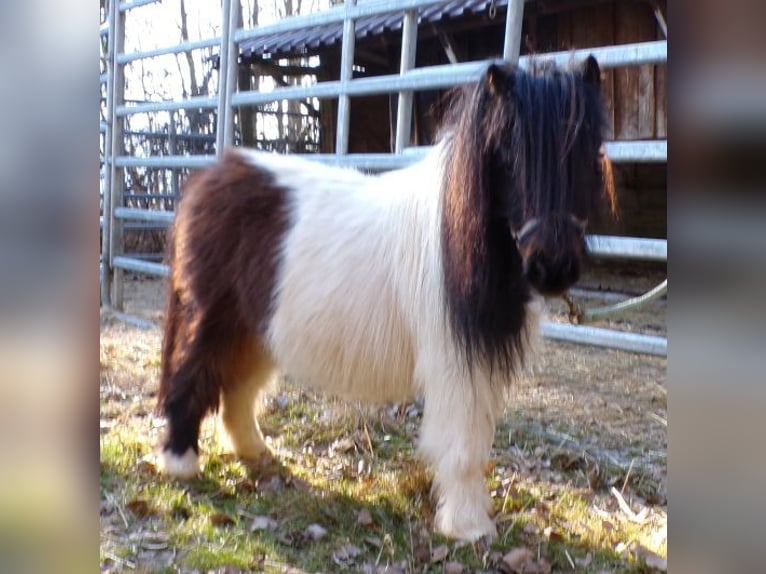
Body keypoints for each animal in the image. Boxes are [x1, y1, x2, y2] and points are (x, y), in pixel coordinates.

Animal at [156, 55, 615, 541]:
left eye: (589, 152)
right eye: (508, 155)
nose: (553, 267)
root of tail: (209, 178)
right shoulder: (456, 362)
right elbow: (463, 447)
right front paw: (469, 527)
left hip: (256, 328)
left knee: (237, 391)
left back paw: (255, 453)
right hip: (212, 317)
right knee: (192, 373)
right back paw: (180, 462)